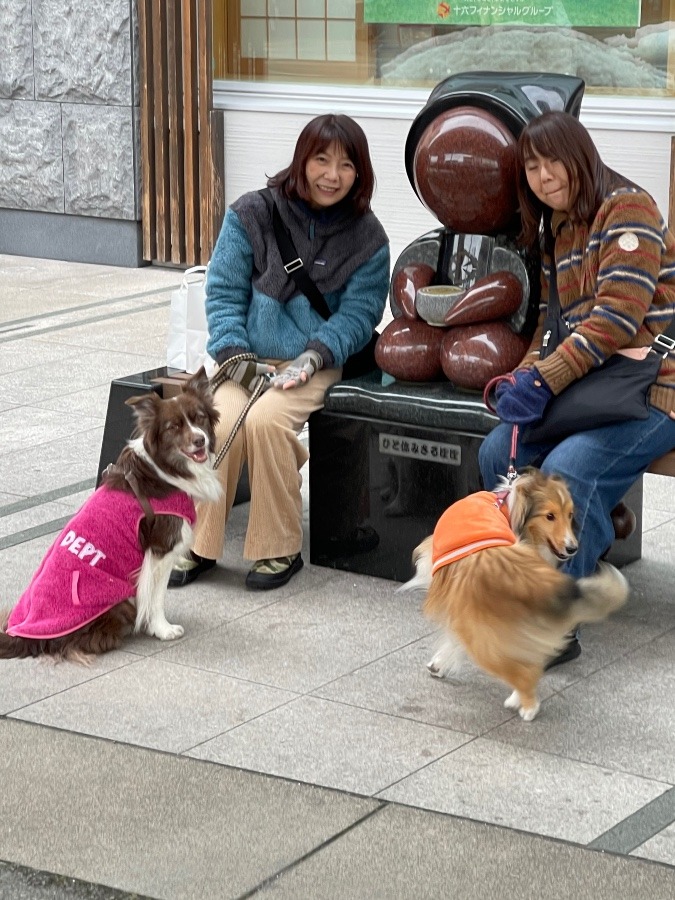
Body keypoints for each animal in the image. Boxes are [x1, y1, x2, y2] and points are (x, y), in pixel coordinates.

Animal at [0, 368, 222, 660]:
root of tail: (22, 637)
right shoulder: (160, 549)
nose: (200, 440)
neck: (164, 468)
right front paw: (162, 629)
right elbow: (156, 596)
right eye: (173, 427)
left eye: (199, 418)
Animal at [402, 468, 628, 720]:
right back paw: (519, 697)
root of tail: (523, 578)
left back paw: (528, 707)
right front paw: (441, 663)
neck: (507, 505)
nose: (572, 548)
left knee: (520, 672)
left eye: (569, 515)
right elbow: (456, 640)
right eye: (550, 516)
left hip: (487, 643)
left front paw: (440, 662)